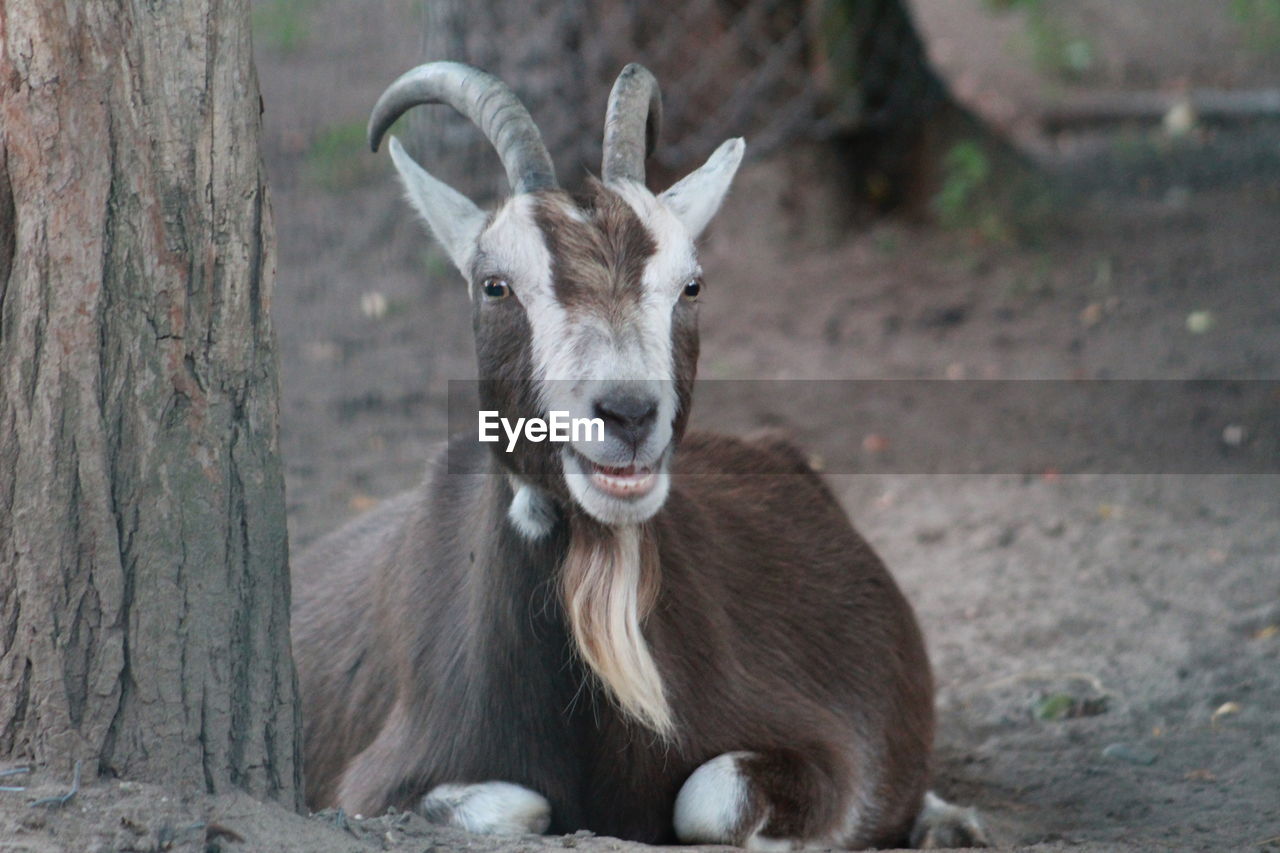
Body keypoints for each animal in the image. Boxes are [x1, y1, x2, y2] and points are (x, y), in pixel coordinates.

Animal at [293, 63, 988, 845]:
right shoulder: (371, 786)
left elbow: (709, 798)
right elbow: (522, 804)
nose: (628, 415)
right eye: (495, 284)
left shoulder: (833, 750)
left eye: (691, 285)